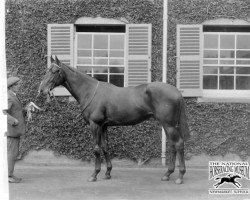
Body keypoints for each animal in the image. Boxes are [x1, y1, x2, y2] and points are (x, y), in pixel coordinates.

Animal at [38, 55, 189, 184]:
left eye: (55, 71)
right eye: (46, 70)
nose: (42, 90)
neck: (89, 91)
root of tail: (177, 92)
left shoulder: (95, 125)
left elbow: (96, 148)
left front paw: (94, 175)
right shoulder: (103, 126)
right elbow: (105, 147)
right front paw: (107, 173)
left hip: (169, 125)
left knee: (178, 144)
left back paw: (180, 176)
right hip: (168, 125)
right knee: (172, 145)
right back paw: (167, 174)